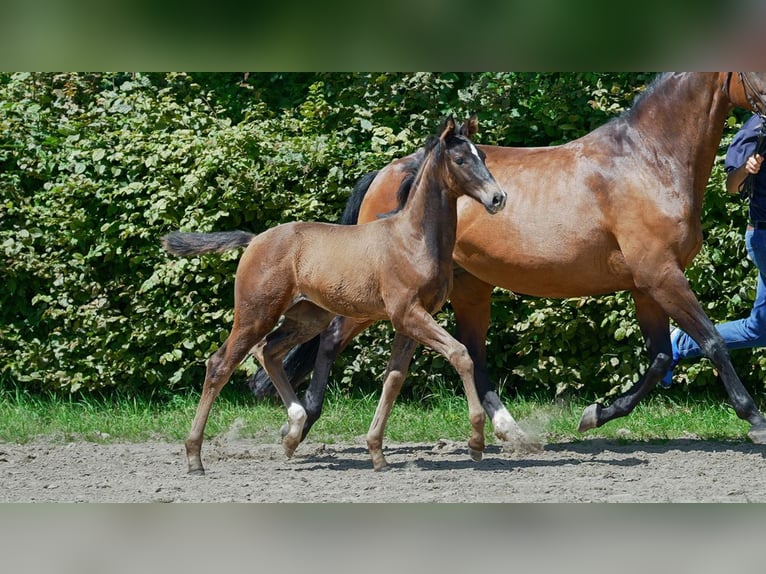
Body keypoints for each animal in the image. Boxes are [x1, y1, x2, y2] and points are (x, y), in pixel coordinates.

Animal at [165, 115, 520, 474]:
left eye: (483, 157)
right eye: (460, 159)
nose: (498, 198)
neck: (413, 239)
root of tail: (255, 240)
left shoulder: (411, 320)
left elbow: (394, 378)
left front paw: (377, 453)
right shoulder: (408, 313)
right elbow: (460, 354)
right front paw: (476, 441)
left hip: (308, 317)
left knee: (269, 350)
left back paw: (293, 429)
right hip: (256, 313)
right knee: (220, 364)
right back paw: (195, 457)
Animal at [252, 72, 766, 448]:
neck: (648, 161)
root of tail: (389, 170)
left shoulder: (646, 284)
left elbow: (661, 357)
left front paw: (596, 413)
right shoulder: (661, 276)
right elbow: (711, 342)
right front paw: (755, 418)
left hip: (467, 287)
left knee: (473, 355)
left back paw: (509, 430)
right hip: (382, 295)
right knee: (333, 337)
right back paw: (302, 422)